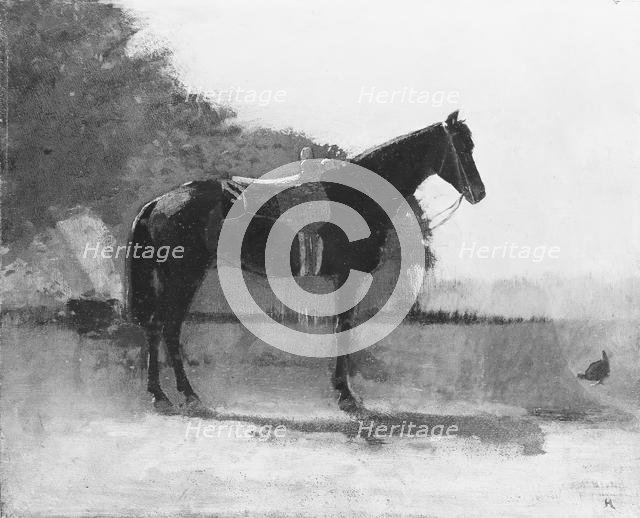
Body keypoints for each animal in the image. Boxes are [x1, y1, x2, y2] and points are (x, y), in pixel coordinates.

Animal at [126, 110, 486, 415]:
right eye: (462, 146)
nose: (479, 193)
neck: (358, 195)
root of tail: (159, 201)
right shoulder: (349, 276)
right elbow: (345, 328)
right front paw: (346, 395)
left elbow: (341, 327)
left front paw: (342, 390)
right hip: (183, 275)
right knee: (165, 325)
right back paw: (174, 395)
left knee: (162, 326)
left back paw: (172, 394)